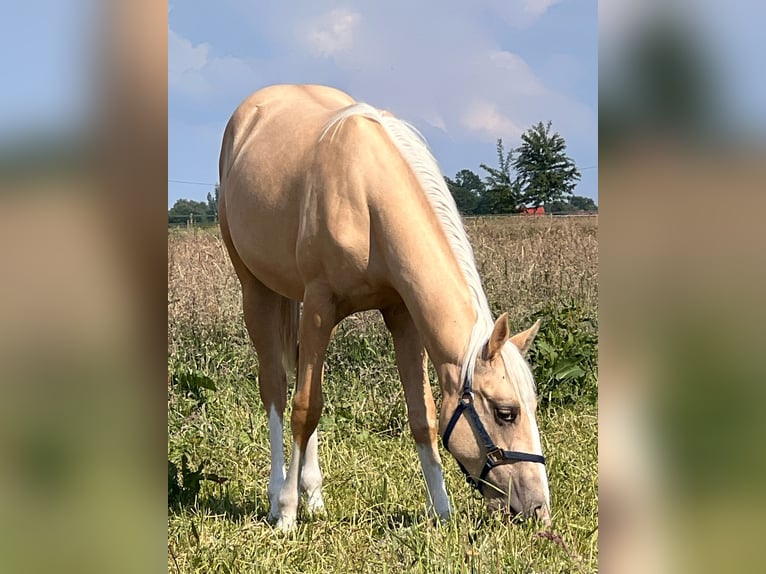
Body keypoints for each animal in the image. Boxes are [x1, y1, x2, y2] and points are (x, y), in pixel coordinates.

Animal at [219, 84, 548, 532]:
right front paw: (287, 513)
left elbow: (423, 416)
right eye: (505, 412)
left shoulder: (402, 313)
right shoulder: (320, 306)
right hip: (256, 290)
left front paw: (442, 511)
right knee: (275, 388)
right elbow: (305, 408)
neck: (367, 197)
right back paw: (277, 498)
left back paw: (314, 495)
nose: (539, 508)